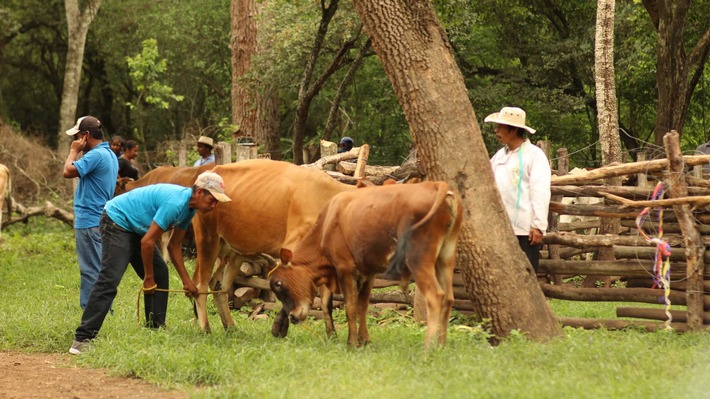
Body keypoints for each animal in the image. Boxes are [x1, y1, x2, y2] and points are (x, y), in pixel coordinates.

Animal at [192, 159, 356, 334]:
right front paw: (279, 326)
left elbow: (326, 300)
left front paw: (332, 334)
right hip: (208, 239)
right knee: (200, 286)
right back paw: (205, 329)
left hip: (233, 251)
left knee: (218, 285)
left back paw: (230, 326)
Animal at [270, 181, 464, 346]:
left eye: (278, 283)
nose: (293, 317)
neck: (327, 225)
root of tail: (436, 185)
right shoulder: (368, 272)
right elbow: (363, 306)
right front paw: (365, 340)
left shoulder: (345, 268)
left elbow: (351, 306)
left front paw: (352, 342)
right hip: (446, 256)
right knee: (448, 297)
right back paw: (441, 345)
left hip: (419, 259)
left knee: (435, 296)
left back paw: (428, 347)